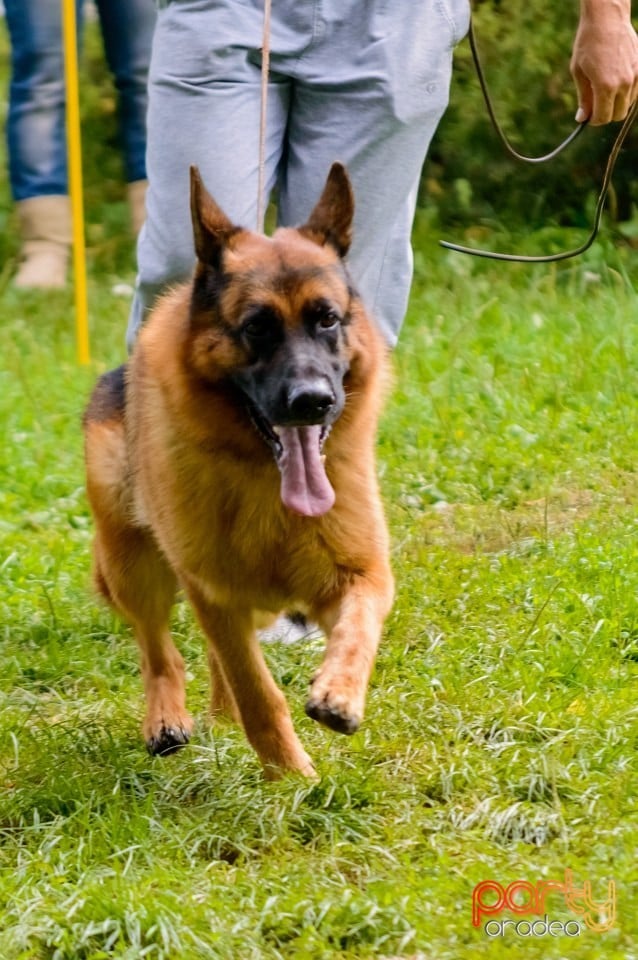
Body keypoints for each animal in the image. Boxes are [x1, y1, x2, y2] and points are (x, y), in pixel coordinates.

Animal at [84, 163, 396, 780]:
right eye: (257, 327)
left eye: (327, 319)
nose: (312, 401)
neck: (266, 484)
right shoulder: (215, 594)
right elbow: (259, 694)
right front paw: (291, 780)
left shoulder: (361, 575)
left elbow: (358, 627)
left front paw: (340, 694)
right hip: (134, 565)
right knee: (161, 651)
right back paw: (167, 719)